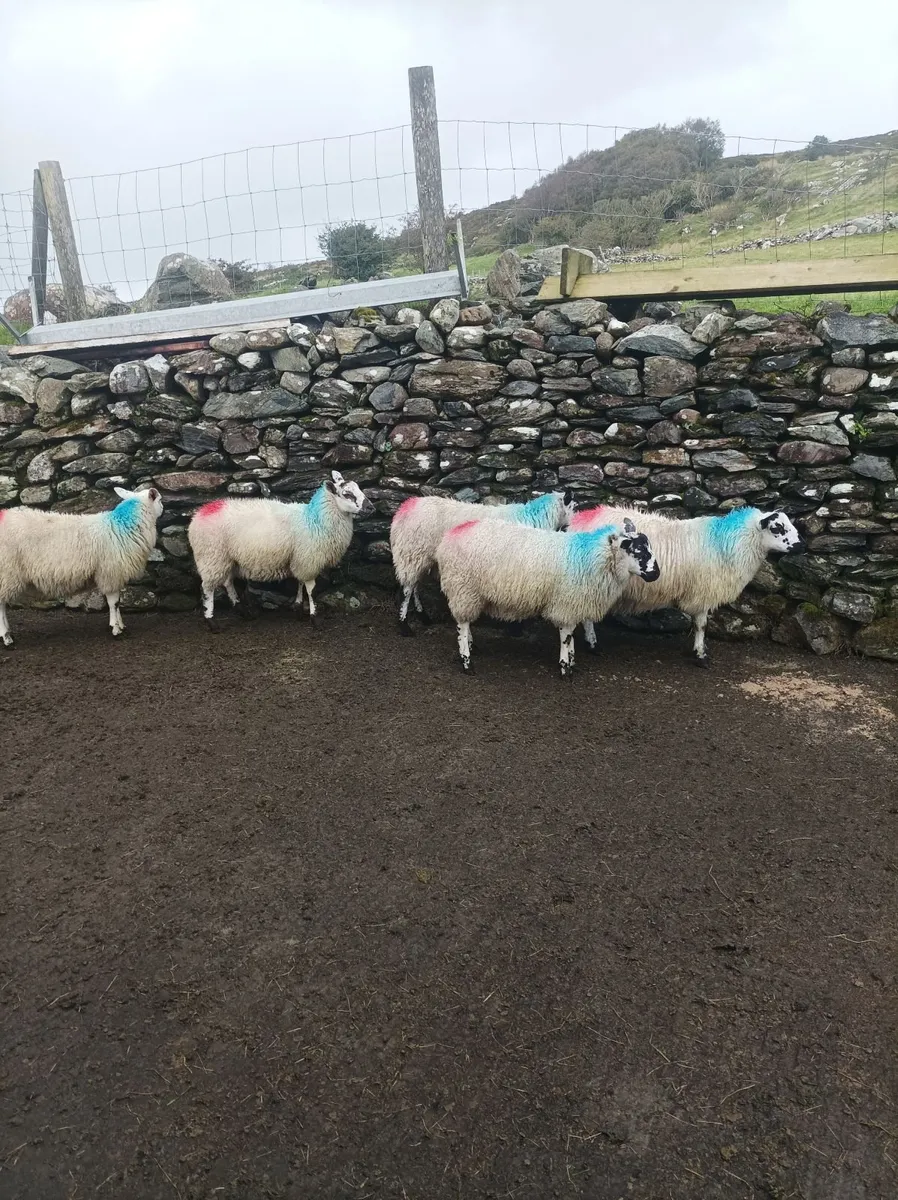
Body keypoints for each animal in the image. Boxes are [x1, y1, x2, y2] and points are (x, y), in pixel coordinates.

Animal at [0, 485, 163, 647]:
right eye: (160, 499)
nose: (163, 508)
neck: (122, 525)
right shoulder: (110, 572)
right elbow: (114, 603)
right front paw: (116, 629)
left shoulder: (114, 575)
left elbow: (117, 604)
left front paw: (120, 625)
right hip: (7, 572)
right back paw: (6, 637)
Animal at [187, 470, 371, 629]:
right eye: (347, 494)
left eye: (358, 488)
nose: (371, 508)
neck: (315, 519)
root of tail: (201, 513)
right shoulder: (309, 560)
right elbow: (311, 590)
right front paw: (314, 618)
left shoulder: (299, 559)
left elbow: (299, 583)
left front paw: (298, 608)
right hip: (212, 556)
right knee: (207, 588)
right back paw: (212, 622)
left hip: (226, 558)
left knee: (227, 582)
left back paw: (242, 610)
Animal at [390, 489, 575, 634]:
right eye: (573, 506)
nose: (571, 526)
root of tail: (406, 507)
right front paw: (514, 628)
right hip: (411, 552)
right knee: (407, 590)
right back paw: (404, 626)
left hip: (417, 557)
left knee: (414, 585)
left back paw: (424, 617)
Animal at [434, 516, 660, 678]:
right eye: (638, 551)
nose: (656, 574)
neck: (593, 557)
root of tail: (450, 535)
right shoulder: (566, 602)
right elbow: (566, 636)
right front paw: (566, 667)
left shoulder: (574, 603)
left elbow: (571, 634)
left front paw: (572, 661)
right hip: (463, 588)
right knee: (462, 626)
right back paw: (467, 661)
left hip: (469, 593)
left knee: (465, 621)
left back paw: (472, 646)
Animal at [571, 504, 805, 667]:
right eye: (777, 528)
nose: (802, 545)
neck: (728, 542)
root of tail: (583, 517)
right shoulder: (704, 592)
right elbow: (701, 626)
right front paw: (701, 655)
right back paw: (593, 644)